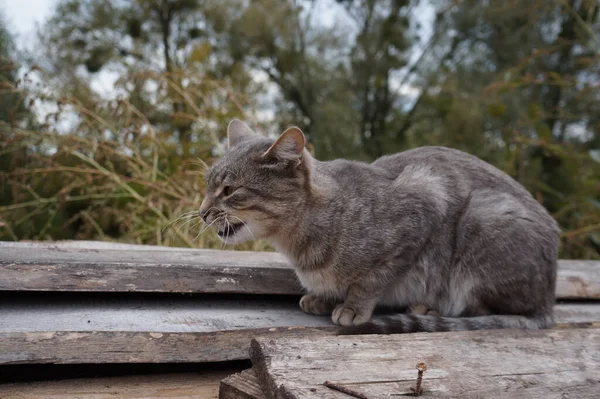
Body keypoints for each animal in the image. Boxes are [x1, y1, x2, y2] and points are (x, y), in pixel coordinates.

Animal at [199, 119, 560, 334]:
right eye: (207, 186)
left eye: (229, 190)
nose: (201, 212)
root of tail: (548, 302)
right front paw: (322, 297)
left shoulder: (423, 205)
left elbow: (371, 281)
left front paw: (351, 306)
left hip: (482, 221)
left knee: (479, 307)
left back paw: (430, 307)